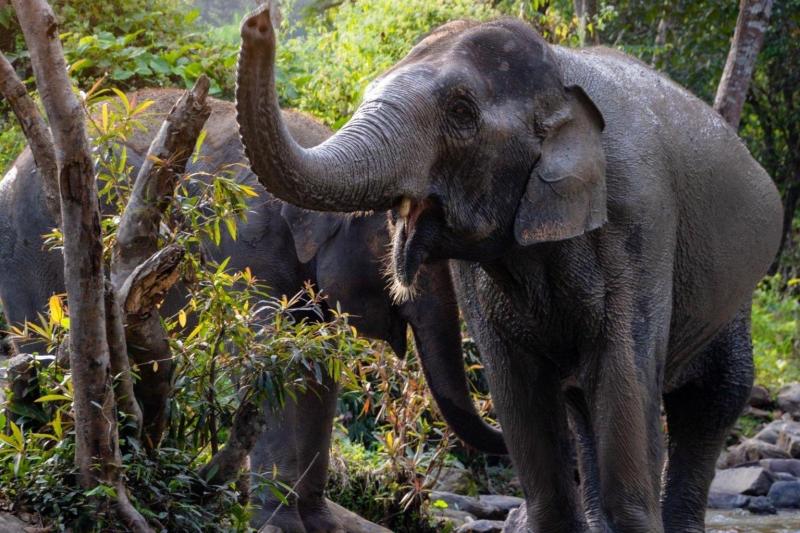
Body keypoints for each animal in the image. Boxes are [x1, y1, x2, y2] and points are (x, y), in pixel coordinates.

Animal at [0, 88, 505, 533]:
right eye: (399, 245)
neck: (324, 152)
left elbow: (316, 370)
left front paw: (322, 522)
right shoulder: (243, 251)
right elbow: (267, 363)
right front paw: (277, 524)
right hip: (36, 257)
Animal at [235, 6, 784, 533]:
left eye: (461, 111)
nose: (257, 22)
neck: (559, 73)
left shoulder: (639, 217)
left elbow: (622, 370)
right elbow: (518, 387)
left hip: (736, 296)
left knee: (714, 397)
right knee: (582, 403)